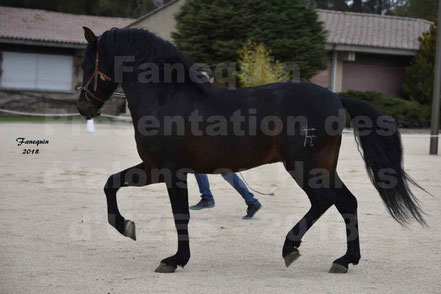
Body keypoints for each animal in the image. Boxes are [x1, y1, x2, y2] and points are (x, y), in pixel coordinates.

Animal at [77, 27, 424, 274]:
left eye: (86, 63)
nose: (83, 108)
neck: (168, 97)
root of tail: (336, 97)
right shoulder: (153, 168)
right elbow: (110, 184)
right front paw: (126, 227)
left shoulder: (172, 172)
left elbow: (180, 215)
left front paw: (174, 259)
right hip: (323, 166)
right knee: (346, 202)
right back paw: (343, 259)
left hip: (304, 166)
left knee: (326, 202)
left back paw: (292, 248)